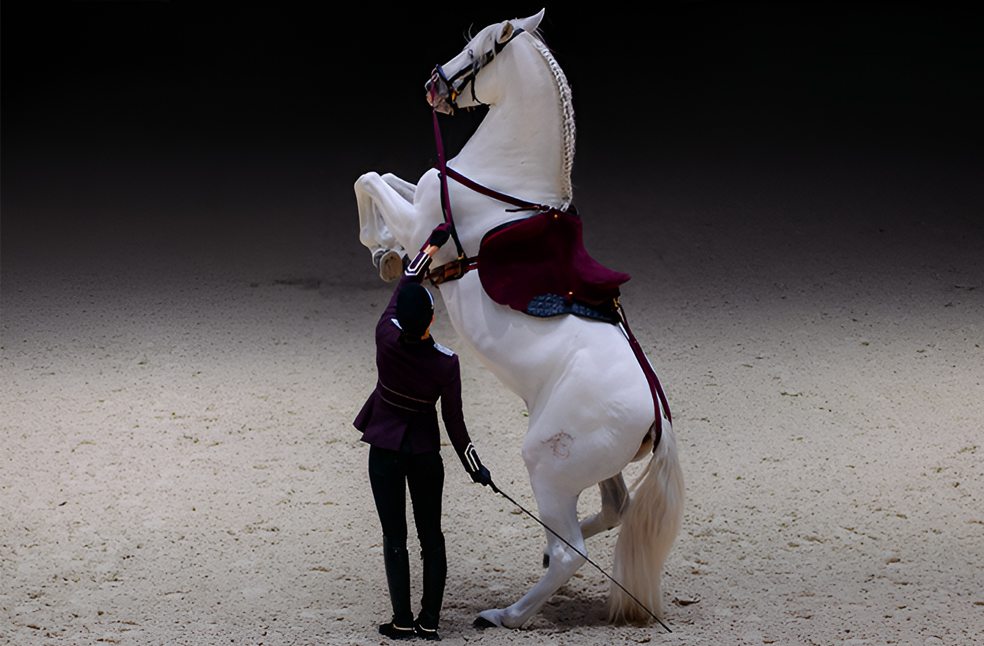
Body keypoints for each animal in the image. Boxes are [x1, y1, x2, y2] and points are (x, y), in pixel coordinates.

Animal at [353, 9, 684, 629]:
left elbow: (371, 182)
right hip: (589, 469)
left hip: (548, 467)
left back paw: (506, 614)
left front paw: (382, 252)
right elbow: (385, 176)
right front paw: (386, 253)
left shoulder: (423, 221)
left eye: (476, 50)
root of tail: (658, 416)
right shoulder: (423, 196)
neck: (509, 188)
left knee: (570, 551)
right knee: (611, 511)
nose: (432, 84)